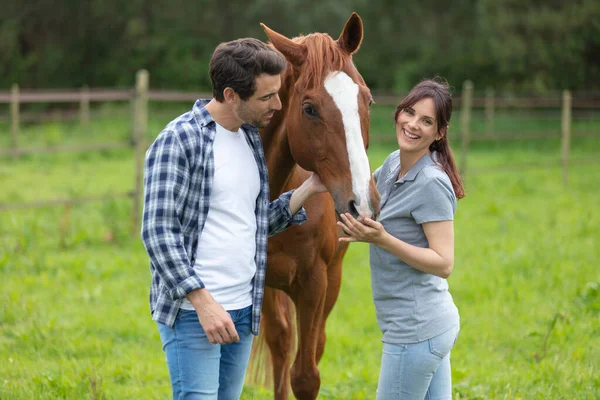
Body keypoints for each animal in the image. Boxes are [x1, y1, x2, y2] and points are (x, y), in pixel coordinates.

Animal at [253, 12, 380, 400]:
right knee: (281, 343)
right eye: (309, 108)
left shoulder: (314, 284)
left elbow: (306, 376)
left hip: (331, 280)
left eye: (368, 101)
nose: (362, 202)